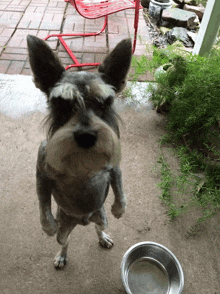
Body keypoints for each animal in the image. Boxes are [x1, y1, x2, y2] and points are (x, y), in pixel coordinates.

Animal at [26, 34, 131, 268]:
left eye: (105, 102)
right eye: (61, 104)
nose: (86, 136)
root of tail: (82, 220)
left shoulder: (114, 167)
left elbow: (120, 188)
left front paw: (119, 209)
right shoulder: (42, 173)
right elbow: (42, 201)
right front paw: (47, 226)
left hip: (100, 217)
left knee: (98, 228)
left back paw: (103, 238)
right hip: (66, 228)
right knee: (65, 241)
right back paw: (61, 255)